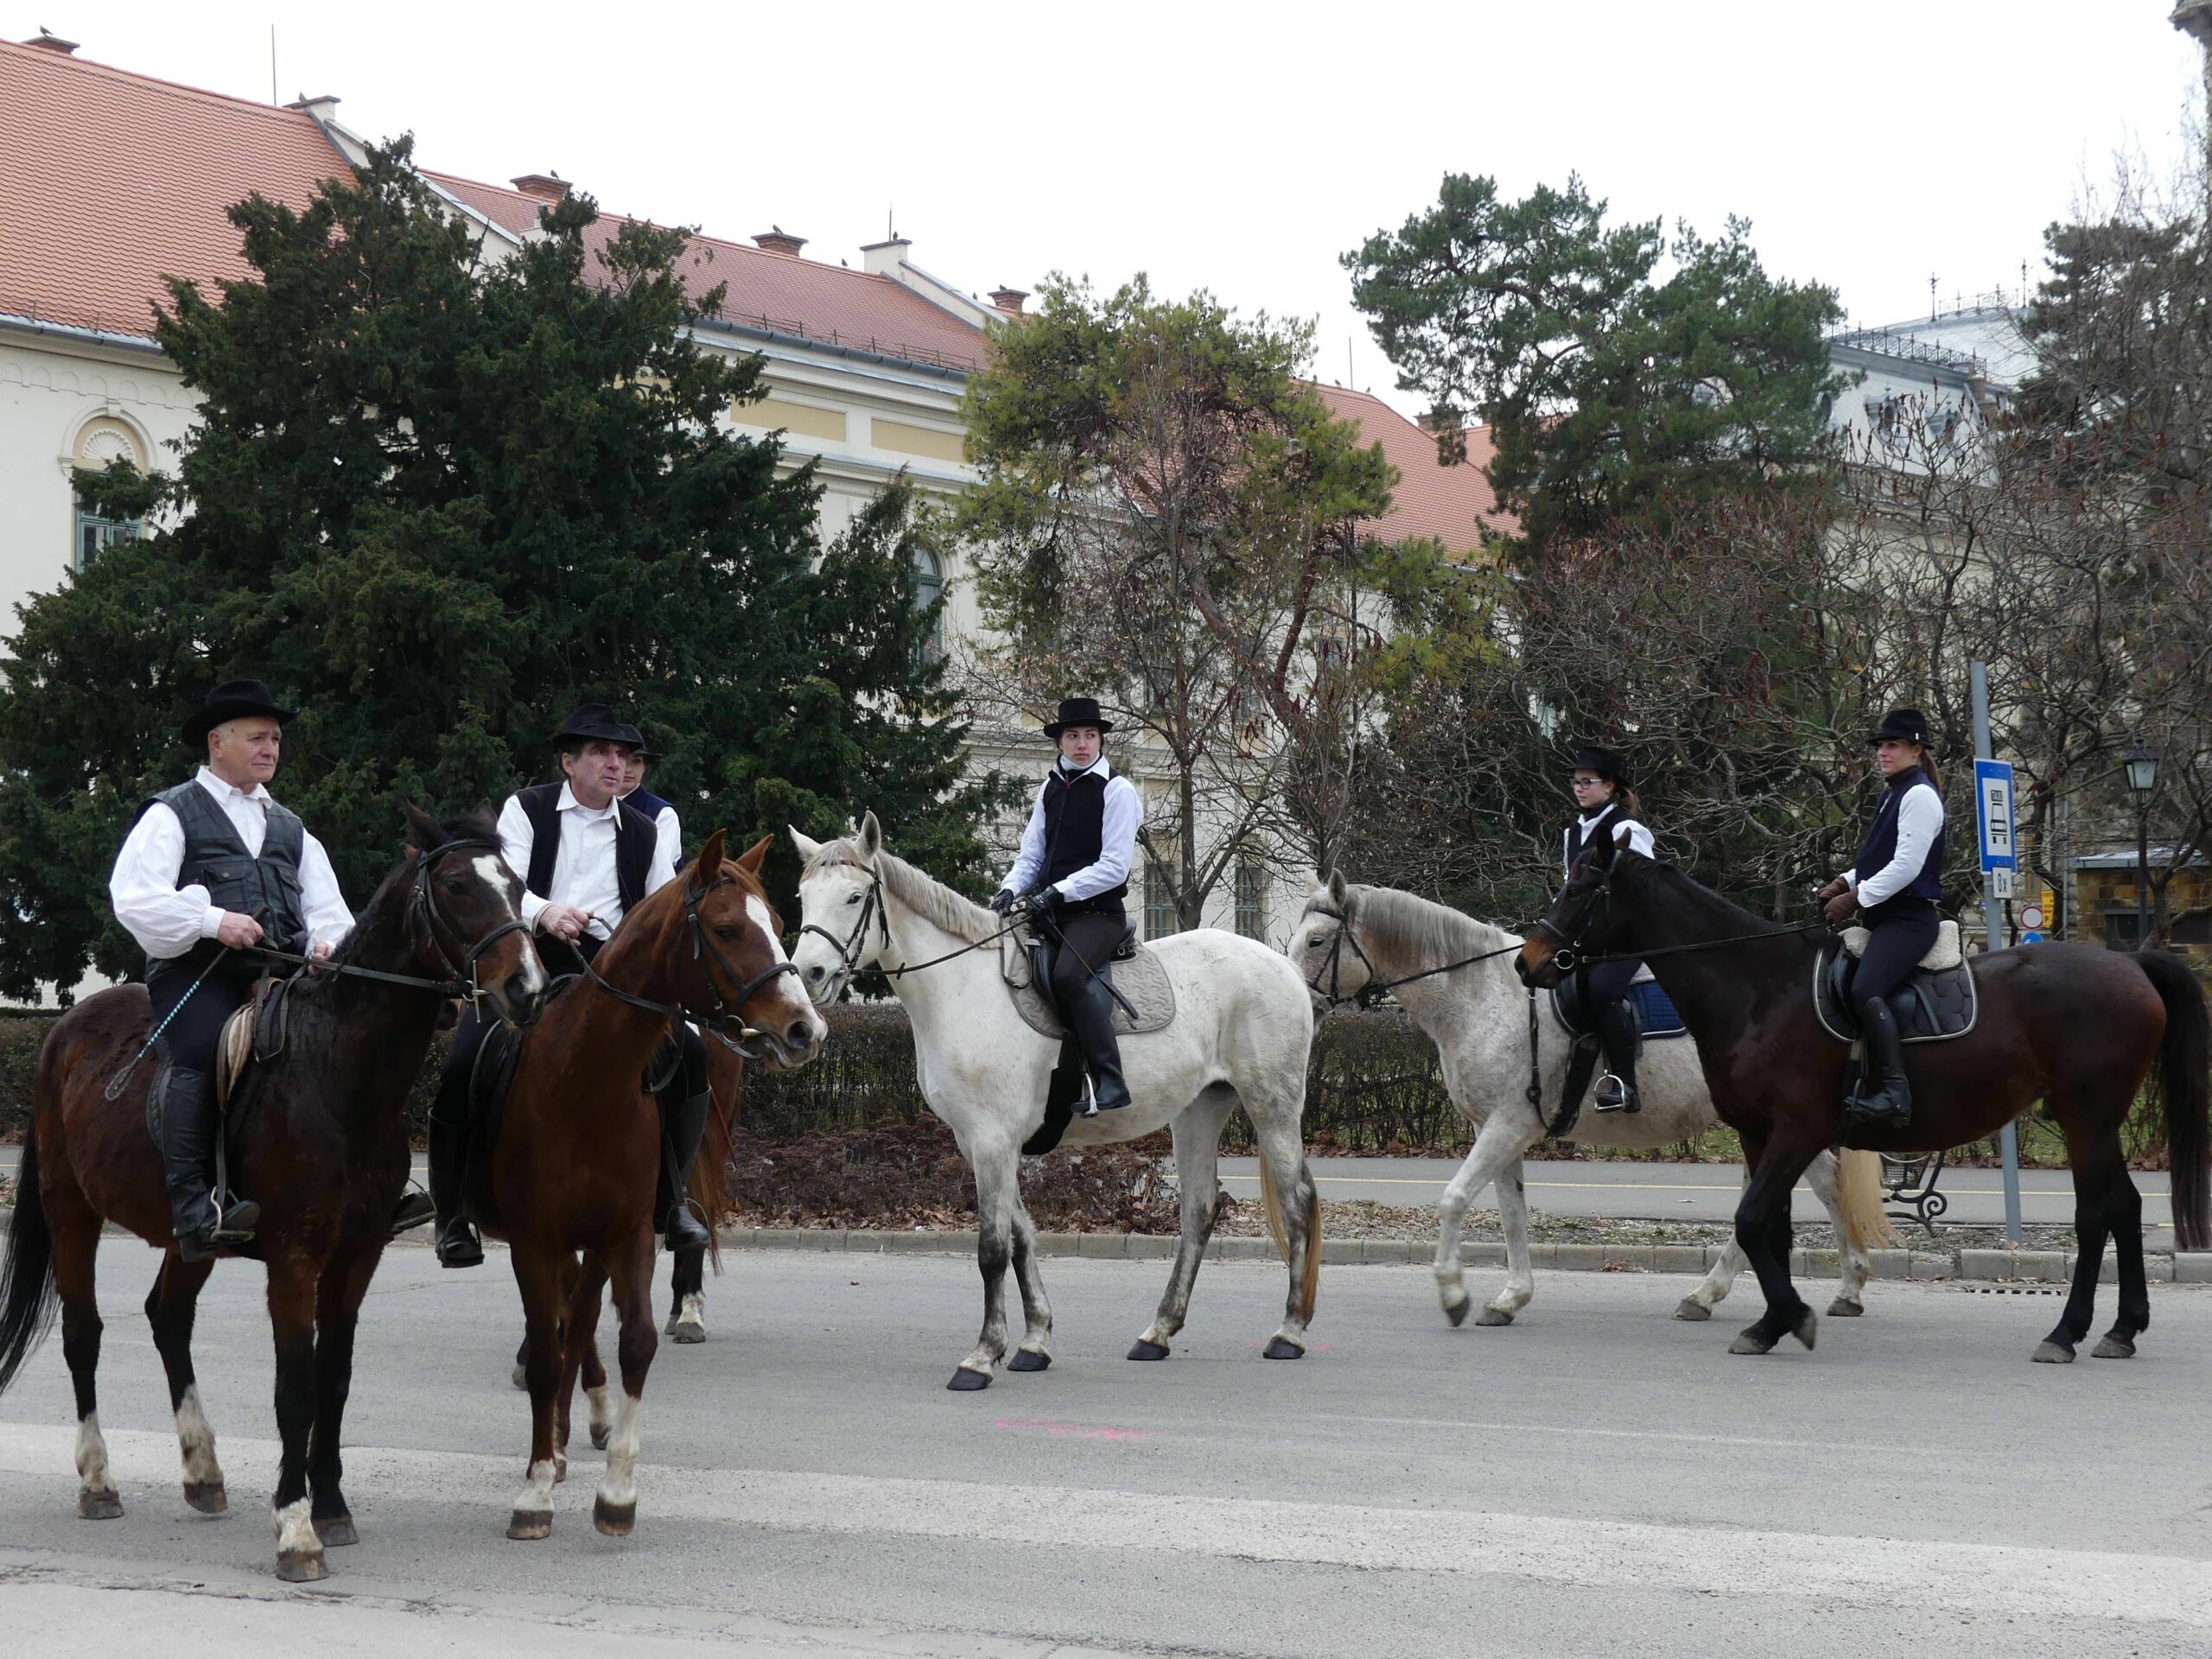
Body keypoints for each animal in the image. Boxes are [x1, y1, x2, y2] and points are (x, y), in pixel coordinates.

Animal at [0, 814, 550, 1592]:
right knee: (84, 1334)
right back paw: (98, 1483)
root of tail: (65, 1028)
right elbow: (295, 1386)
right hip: (71, 1212)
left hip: (191, 1236)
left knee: (168, 1317)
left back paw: (203, 1473)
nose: (527, 988)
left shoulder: (357, 1256)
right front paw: (296, 1530)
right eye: (455, 885)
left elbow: (334, 1379)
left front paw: (332, 1507)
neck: (337, 1070)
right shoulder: (294, 1259)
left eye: (517, 885)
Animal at [471, 831, 827, 1548]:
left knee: (583, 1316)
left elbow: (629, 1339)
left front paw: (616, 1490)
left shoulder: (628, 1230)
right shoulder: (534, 1241)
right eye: (727, 928)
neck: (587, 1078)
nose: (805, 1029)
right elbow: (548, 1353)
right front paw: (536, 1490)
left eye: (778, 923)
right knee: (566, 1323)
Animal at [791, 814, 1318, 1389]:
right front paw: (1034, 1341)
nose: (810, 975)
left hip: (1273, 1107)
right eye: (802, 896)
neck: (963, 990)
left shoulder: (993, 1141)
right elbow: (1021, 1238)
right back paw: (1158, 1332)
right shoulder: (981, 1143)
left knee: (1296, 1202)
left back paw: (1289, 1332)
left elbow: (992, 1249)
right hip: (1198, 1112)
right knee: (1198, 1210)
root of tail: (1283, 966)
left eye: (854, 896)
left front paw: (982, 1356)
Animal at [1292, 875, 1893, 1336]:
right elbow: (1512, 1215)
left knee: (1817, 1185)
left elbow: (1455, 1198)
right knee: (1807, 1187)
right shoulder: (1501, 1129)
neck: (1484, 996)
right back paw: (1767, 1290)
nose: (1294, 1001)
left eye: (1318, 941)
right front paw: (1510, 1297)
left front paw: (1454, 1295)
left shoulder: (1507, 1125)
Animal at [1522, 849, 2212, 1371]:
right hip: (2095, 1119)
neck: (1758, 989)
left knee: (2095, 1214)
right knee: (2123, 1206)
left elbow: (1751, 1218)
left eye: (1581, 888)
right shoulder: (1757, 1133)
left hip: (2085, 1115)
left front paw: (1792, 1316)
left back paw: (2066, 1332)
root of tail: (2129, 964)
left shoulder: (1799, 1129)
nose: (1530, 962)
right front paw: (1770, 1322)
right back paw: (2122, 1330)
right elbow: (1769, 1226)